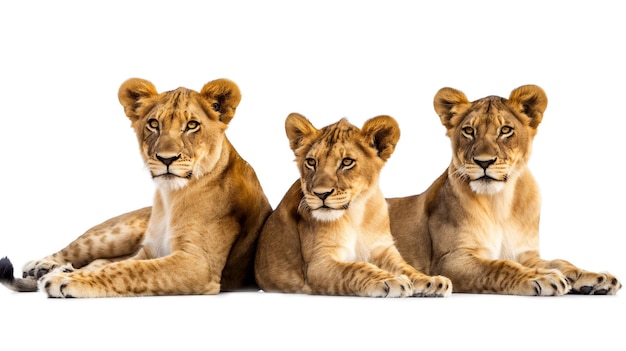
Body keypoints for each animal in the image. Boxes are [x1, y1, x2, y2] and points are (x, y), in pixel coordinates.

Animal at [1, 78, 272, 298]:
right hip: (114, 233)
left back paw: (58, 271)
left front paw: (64, 279)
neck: (170, 198)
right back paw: (40, 266)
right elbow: (124, 266)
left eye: (192, 125)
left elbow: (127, 269)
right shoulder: (150, 251)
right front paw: (58, 274)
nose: (166, 159)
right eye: (153, 124)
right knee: (83, 251)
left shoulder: (199, 264)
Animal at [251, 114, 450, 298]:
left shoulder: (383, 250)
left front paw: (431, 281)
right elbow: (357, 268)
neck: (355, 215)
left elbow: (406, 267)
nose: (321, 194)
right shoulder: (318, 265)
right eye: (311, 162)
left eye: (347, 162)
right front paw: (390, 279)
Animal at [386, 86, 620, 296]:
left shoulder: (525, 254)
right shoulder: (450, 260)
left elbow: (560, 262)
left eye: (505, 130)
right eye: (469, 131)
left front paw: (596, 278)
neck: (499, 202)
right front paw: (541, 277)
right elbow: (500, 266)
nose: (484, 162)